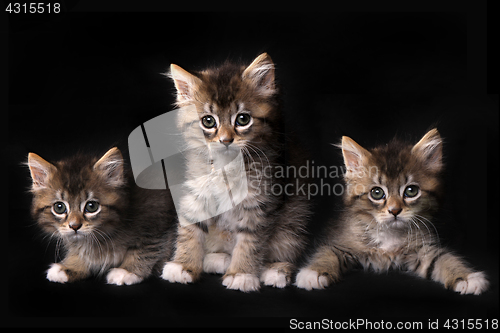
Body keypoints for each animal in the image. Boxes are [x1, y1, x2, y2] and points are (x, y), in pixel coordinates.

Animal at [28, 147, 178, 284]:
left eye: (91, 206)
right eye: (59, 207)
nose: (74, 226)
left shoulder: (156, 223)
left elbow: (146, 250)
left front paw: (127, 271)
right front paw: (70, 266)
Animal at [162, 52, 310, 290]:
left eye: (242, 119)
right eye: (208, 121)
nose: (225, 140)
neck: (227, 166)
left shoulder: (260, 200)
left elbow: (250, 241)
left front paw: (242, 274)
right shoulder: (197, 191)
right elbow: (191, 226)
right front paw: (182, 265)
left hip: (295, 218)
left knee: (288, 244)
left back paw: (276, 270)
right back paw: (218, 258)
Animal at [296, 128, 488, 294]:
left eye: (411, 191)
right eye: (377, 193)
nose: (395, 210)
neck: (390, 234)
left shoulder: (423, 249)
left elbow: (443, 259)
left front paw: (466, 277)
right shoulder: (341, 242)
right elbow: (328, 253)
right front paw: (314, 272)